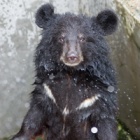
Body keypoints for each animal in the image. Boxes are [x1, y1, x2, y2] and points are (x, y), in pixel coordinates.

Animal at [11, 3, 118, 140]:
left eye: (82, 38)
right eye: (61, 38)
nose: (72, 56)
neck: (71, 73)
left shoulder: (98, 99)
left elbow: (105, 126)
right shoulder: (46, 92)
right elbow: (33, 118)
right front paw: (19, 136)